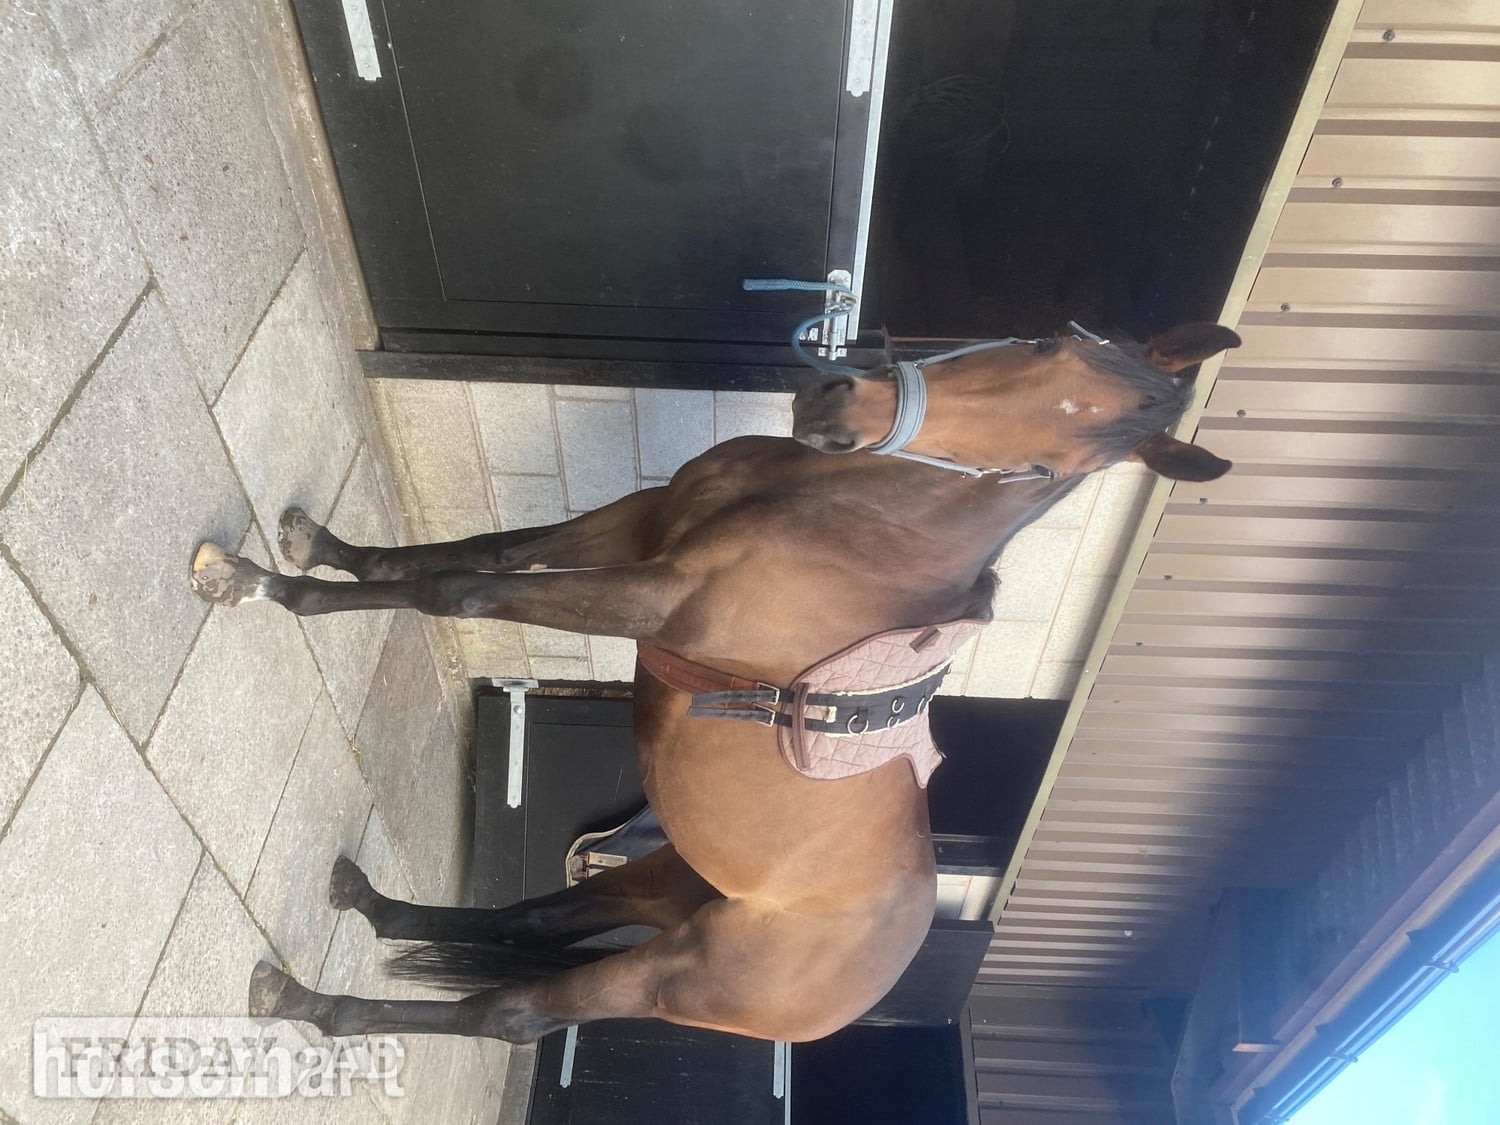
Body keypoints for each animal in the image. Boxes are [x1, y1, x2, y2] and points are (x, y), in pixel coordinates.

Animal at [189, 321, 1238, 1046]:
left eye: (1040, 466)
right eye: (1044, 339)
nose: (835, 406)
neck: (850, 530)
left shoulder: (652, 595)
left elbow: (460, 588)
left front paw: (266, 587)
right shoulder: (637, 525)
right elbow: (490, 549)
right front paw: (323, 547)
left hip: (669, 974)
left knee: (515, 1011)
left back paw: (312, 999)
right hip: (664, 880)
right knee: (535, 914)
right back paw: (371, 906)